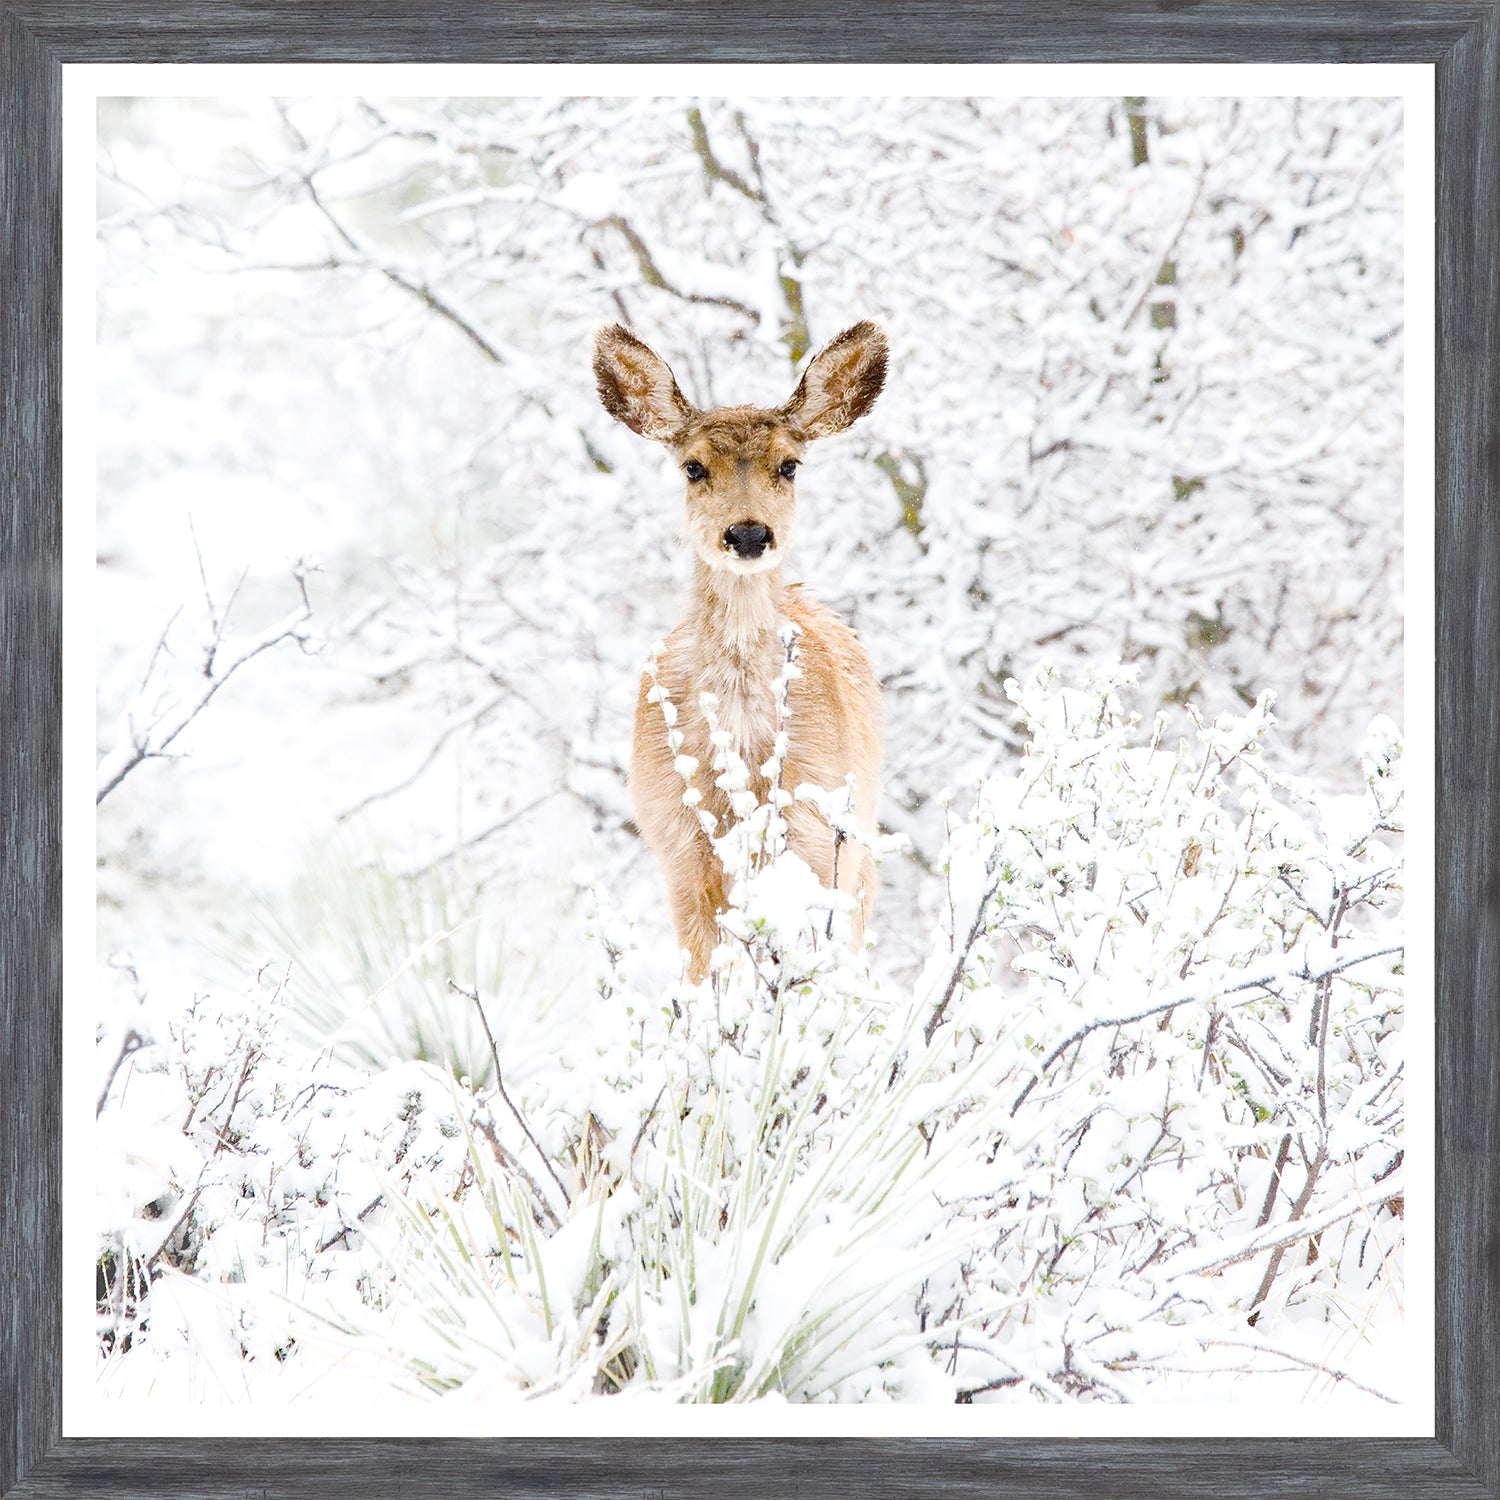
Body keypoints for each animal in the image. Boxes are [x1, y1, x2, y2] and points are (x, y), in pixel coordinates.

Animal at [593, 320, 888, 981]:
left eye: (790, 465)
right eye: (693, 467)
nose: (749, 533)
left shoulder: (816, 828)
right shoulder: (678, 838)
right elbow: (705, 969)